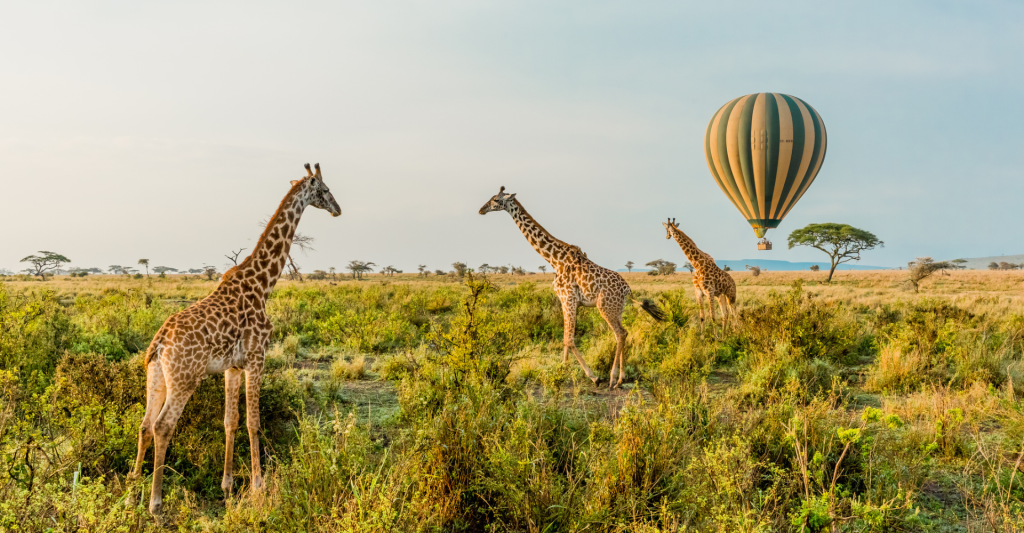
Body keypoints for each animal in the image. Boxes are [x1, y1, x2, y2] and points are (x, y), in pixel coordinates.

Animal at [128, 163, 341, 516]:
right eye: (324, 190)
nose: (338, 209)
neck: (263, 285)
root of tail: (159, 343)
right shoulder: (258, 358)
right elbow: (254, 422)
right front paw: (258, 486)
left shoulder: (232, 367)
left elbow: (230, 421)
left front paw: (227, 486)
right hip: (185, 379)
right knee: (162, 426)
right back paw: (155, 504)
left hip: (156, 376)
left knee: (145, 425)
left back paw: (132, 489)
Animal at [479, 187, 665, 389]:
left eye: (496, 200)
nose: (481, 209)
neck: (553, 259)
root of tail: (628, 290)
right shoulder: (564, 300)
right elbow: (565, 339)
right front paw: (562, 370)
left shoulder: (568, 298)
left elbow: (569, 339)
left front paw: (593, 377)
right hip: (618, 309)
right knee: (624, 333)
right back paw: (621, 378)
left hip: (605, 307)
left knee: (620, 334)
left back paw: (613, 378)